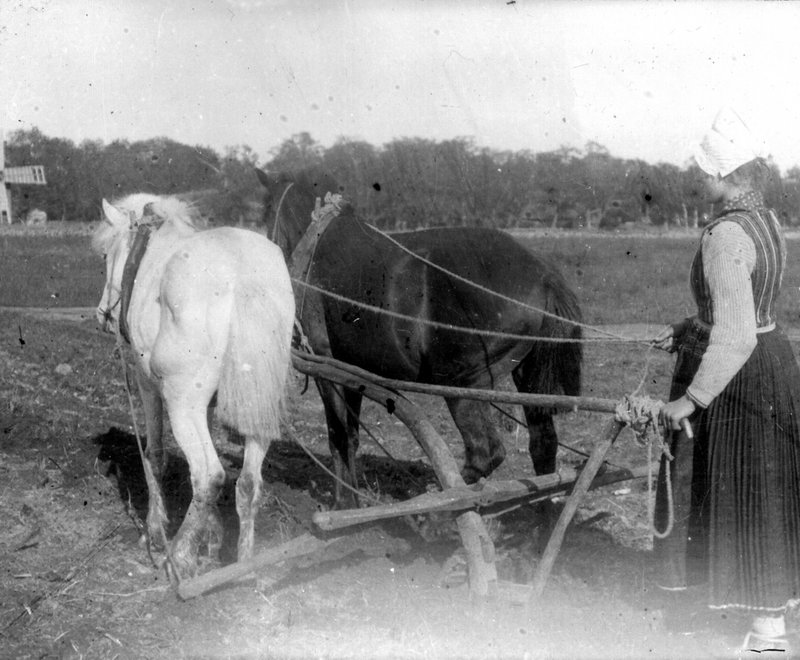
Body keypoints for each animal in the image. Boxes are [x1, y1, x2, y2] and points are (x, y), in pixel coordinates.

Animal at [94, 192, 294, 576]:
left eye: (107, 255)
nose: (102, 315)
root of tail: (242, 274)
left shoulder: (147, 385)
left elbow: (154, 456)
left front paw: (156, 532)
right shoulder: (213, 403)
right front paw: (212, 536)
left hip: (181, 403)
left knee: (208, 475)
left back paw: (179, 556)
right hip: (257, 402)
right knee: (247, 482)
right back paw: (243, 563)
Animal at [256, 168, 580, 502]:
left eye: (266, 210)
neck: (316, 244)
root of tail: (545, 276)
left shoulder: (325, 365)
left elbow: (338, 436)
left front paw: (343, 502)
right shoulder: (350, 371)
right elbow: (352, 437)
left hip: (463, 383)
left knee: (485, 453)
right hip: (526, 378)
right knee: (543, 445)